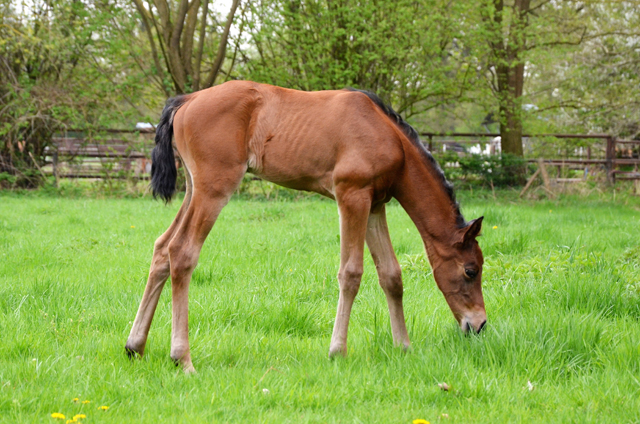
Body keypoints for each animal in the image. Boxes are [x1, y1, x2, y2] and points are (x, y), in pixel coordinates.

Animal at [124, 80, 484, 372]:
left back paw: (134, 346)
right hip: (214, 189)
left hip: (193, 189)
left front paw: (403, 347)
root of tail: (187, 99)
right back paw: (182, 359)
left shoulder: (375, 204)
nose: (478, 325)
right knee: (182, 252)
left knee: (162, 248)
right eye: (470, 270)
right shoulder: (351, 195)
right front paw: (338, 351)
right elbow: (351, 273)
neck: (388, 137)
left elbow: (391, 275)